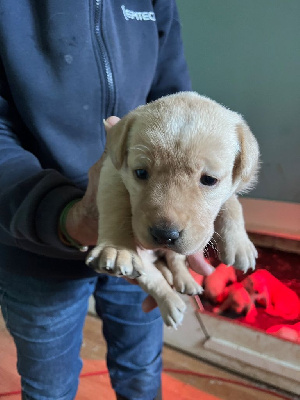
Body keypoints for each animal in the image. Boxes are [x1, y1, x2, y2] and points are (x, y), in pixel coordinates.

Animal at [85, 92, 258, 326]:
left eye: (209, 180)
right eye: (141, 173)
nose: (164, 235)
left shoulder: (230, 187)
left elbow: (232, 204)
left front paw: (240, 244)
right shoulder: (112, 170)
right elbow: (115, 204)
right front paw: (117, 248)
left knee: (174, 261)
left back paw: (186, 281)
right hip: (143, 263)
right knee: (154, 279)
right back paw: (171, 304)